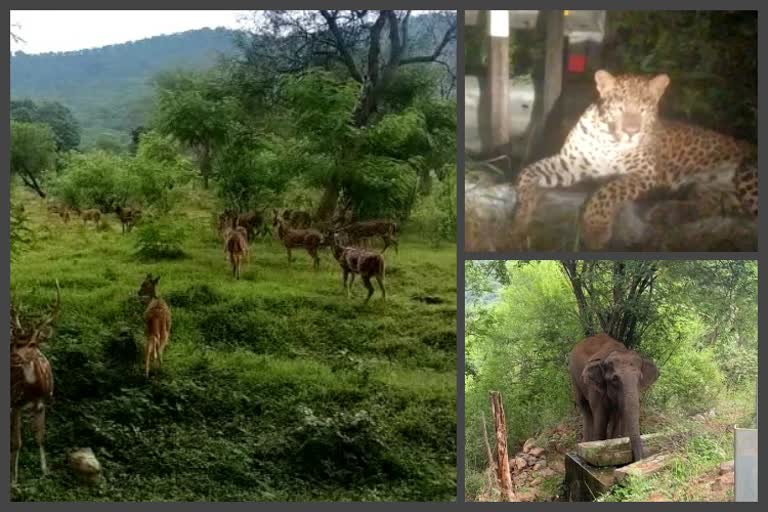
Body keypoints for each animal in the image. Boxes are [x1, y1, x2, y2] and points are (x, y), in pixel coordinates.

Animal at [510, 69, 756, 250]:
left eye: (644, 109)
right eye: (619, 108)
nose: (631, 131)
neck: (608, 139)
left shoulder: (645, 172)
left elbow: (607, 191)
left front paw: (596, 231)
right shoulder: (570, 163)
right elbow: (527, 172)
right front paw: (522, 216)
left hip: (746, 173)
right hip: (710, 188)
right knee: (708, 205)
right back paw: (665, 213)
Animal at [568, 334, 656, 462]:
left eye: (639, 378)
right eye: (615, 379)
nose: (639, 459)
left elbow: (618, 416)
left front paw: (614, 439)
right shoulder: (595, 389)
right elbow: (601, 416)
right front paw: (597, 444)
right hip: (574, 378)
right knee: (585, 407)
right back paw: (585, 443)